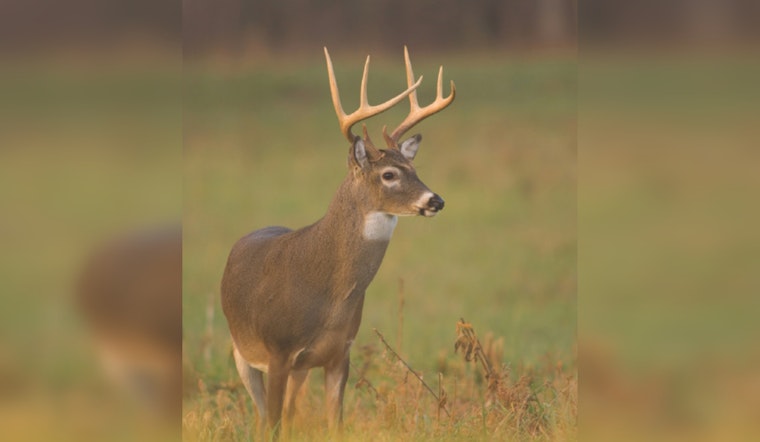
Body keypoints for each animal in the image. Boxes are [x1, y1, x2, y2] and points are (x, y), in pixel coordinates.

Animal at [220, 46, 455, 438]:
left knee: (291, 412)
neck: (328, 298)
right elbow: (274, 424)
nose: (435, 200)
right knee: (263, 417)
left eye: (414, 170)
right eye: (388, 174)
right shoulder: (278, 351)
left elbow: (334, 424)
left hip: (300, 368)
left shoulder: (338, 354)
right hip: (242, 351)